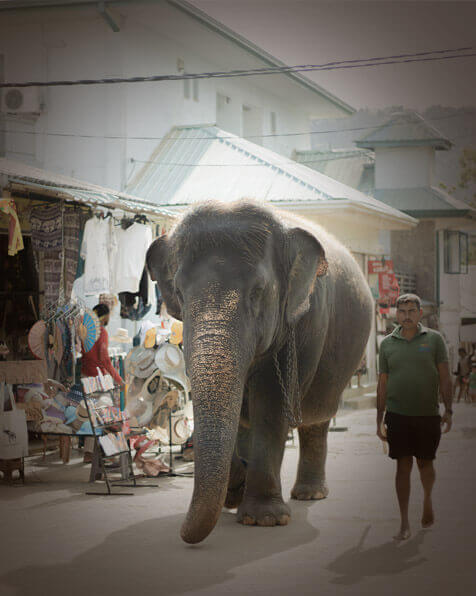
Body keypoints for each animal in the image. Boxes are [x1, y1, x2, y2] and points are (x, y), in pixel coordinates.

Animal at [147, 201, 374, 544]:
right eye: (179, 293)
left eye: (258, 292)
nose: (183, 535)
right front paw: (235, 493)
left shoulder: (305, 321)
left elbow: (271, 404)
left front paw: (264, 519)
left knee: (316, 418)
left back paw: (309, 494)